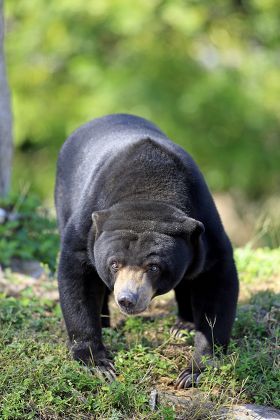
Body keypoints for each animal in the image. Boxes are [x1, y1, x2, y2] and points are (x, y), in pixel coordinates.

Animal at [54, 113, 238, 388]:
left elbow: (216, 283)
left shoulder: (206, 228)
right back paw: (106, 323)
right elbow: (76, 275)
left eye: (154, 267)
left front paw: (193, 371)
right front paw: (98, 364)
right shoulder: (87, 223)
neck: (148, 193)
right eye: (114, 264)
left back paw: (182, 326)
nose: (127, 299)